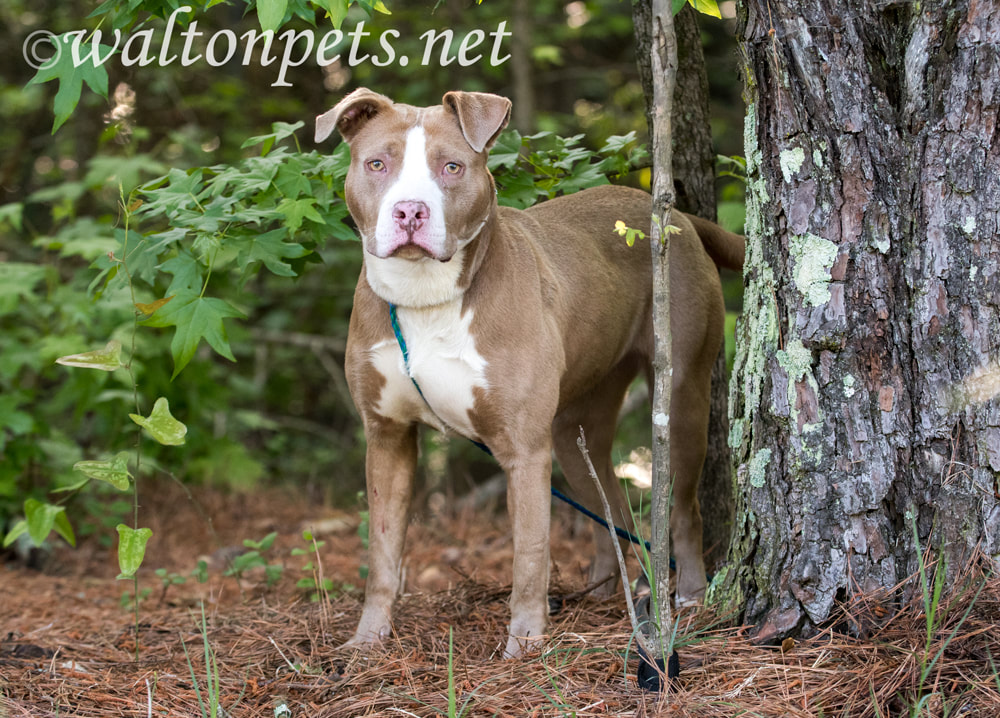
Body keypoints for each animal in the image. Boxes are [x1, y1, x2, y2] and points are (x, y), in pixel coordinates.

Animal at [316, 87, 748, 660]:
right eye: (377, 164)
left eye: (451, 167)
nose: (410, 211)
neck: (426, 297)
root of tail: (678, 216)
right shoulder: (387, 436)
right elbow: (383, 551)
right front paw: (367, 642)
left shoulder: (523, 447)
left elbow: (529, 552)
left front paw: (523, 645)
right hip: (574, 427)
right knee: (610, 507)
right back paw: (605, 592)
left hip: (681, 397)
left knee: (681, 508)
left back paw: (691, 599)